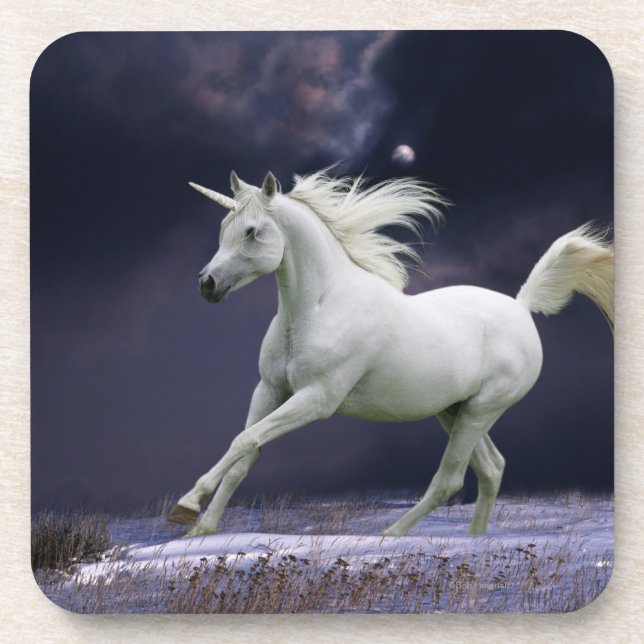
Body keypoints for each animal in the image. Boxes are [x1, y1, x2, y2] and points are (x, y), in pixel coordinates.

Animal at [168, 168, 613, 538]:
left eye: (252, 231)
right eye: (224, 227)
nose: (207, 284)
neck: (319, 308)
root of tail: (521, 307)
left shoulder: (317, 399)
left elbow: (245, 441)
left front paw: (186, 506)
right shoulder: (269, 391)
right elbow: (243, 452)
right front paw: (200, 529)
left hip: (482, 409)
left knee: (451, 478)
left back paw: (392, 535)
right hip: (453, 410)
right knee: (491, 468)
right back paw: (473, 541)